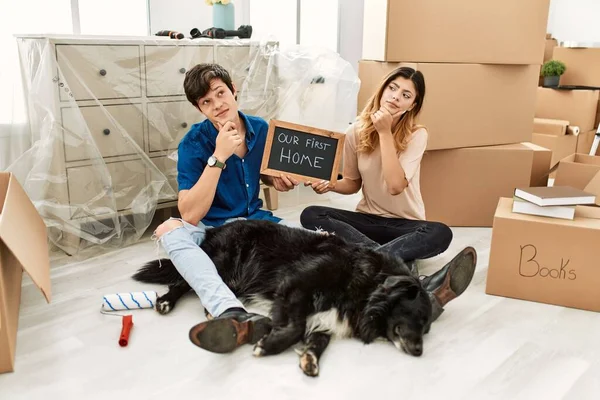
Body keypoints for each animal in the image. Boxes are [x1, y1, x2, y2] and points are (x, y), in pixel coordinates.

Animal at [132, 217, 432, 376]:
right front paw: (268, 345)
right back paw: (165, 301)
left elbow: (318, 339)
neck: (365, 283)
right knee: (184, 282)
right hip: (221, 262)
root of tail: (214, 229)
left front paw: (310, 358)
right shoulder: (296, 285)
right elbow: (296, 327)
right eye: (417, 316)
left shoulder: (327, 317)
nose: (420, 352)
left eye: (427, 328)